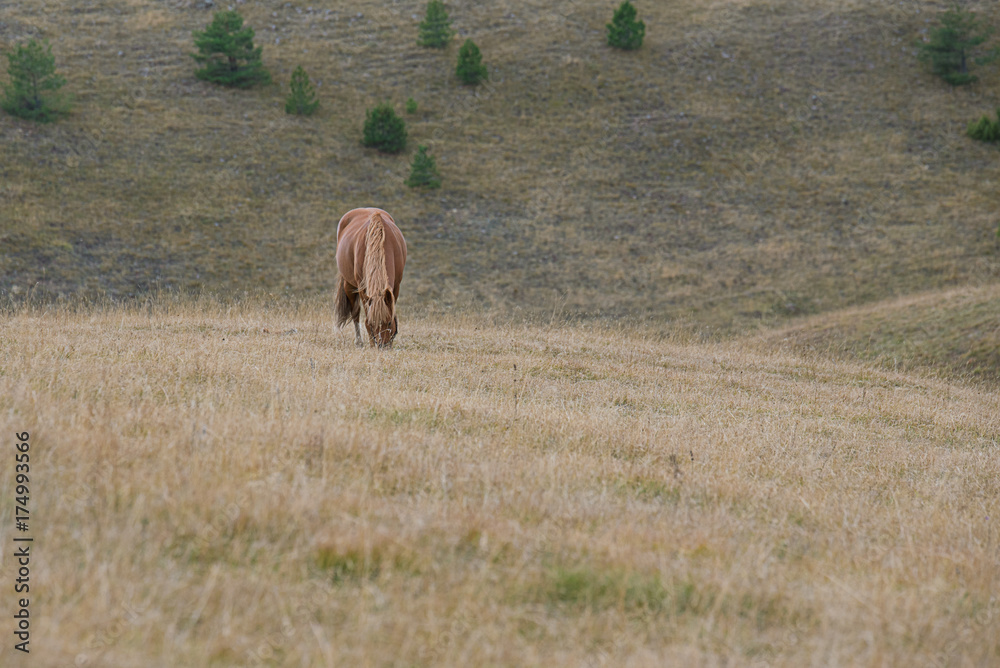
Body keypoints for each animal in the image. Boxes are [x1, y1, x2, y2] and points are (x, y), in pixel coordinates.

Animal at [333, 207, 407, 348]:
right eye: (373, 323)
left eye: (389, 323)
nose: (383, 346)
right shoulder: (362, 287)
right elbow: (365, 316)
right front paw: (372, 344)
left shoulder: (396, 285)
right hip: (349, 285)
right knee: (355, 312)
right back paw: (359, 342)